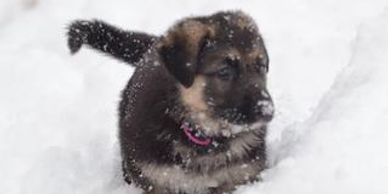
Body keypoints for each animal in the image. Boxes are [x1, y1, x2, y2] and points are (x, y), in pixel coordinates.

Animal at [67, 10, 272, 194]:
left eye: (261, 67)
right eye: (224, 72)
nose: (267, 111)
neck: (202, 136)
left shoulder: (240, 177)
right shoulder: (156, 180)